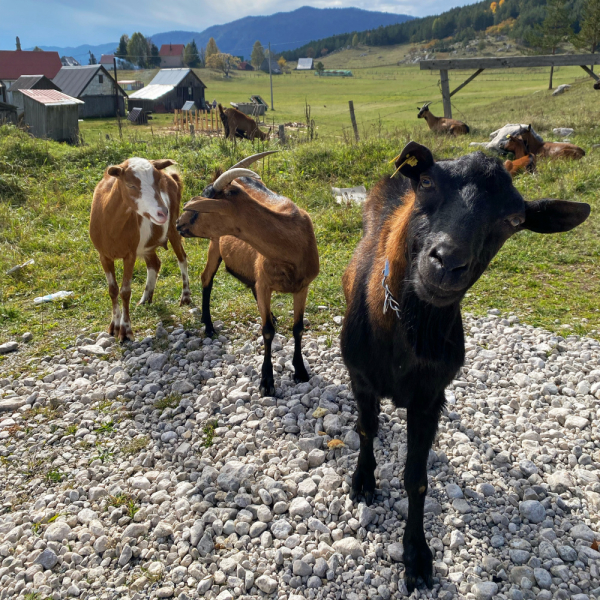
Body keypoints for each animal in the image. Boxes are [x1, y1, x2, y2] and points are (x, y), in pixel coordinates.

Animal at [89, 157, 191, 342]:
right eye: (131, 185)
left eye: (158, 182)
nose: (162, 213)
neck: (111, 226)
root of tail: (172, 177)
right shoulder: (103, 255)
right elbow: (113, 290)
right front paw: (114, 326)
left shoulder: (129, 255)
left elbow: (125, 291)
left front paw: (126, 331)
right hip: (146, 244)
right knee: (155, 263)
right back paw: (146, 298)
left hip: (173, 228)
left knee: (182, 258)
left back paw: (185, 296)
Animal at [177, 152, 322, 396]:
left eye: (202, 208)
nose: (179, 223)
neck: (292, 244)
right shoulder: (264, 284)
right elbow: (267, 331)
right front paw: (267, 382)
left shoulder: (303, 286)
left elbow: (298, 328)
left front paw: (301, 371)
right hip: (215, 245)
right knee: (206, 278)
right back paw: (208, 326)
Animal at [342, 141, 592, 592]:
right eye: (427, 183)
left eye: (514, 220)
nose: (447, 262)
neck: (408, 333)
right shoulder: (361, 379)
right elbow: (366, 431)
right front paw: (364, 481)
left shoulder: (428, 399)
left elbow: (416, 479)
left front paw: (417, 556)